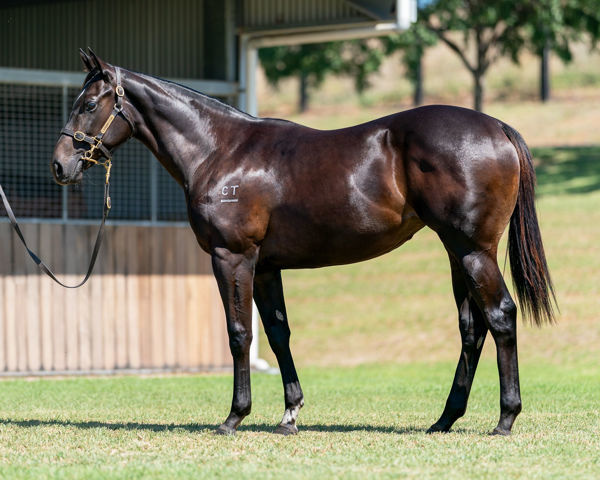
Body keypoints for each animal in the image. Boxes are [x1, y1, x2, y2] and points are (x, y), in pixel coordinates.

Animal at [50, 50, 552, 436]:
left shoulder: (233, 257)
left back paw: (505, 419)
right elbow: (277, 334)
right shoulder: (266, 266)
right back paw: (445, 420)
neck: (220, 150)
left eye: (89, 103)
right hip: (456, 251)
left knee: (500, 316)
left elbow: (239, 333)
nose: (59, 165)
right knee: (473, 328)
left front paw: (234, 417)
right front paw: (290, 414)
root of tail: (497, 127)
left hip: (472, 250)